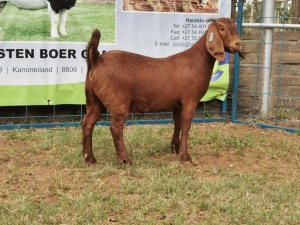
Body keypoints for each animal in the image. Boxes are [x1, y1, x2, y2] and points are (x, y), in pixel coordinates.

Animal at [82, 17, 244, 164]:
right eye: (221, 28)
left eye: (235, 27)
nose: (238, 43)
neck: (197, 61)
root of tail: (96, 60)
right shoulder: (190, 100)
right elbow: (186, 126)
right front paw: (185, 157)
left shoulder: (177, 104)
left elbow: (177, 123)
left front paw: (175, 148)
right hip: (117, 101)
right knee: (115, 128)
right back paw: (125, 159)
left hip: (93, 98)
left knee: (88, 122)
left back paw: (89, 158)